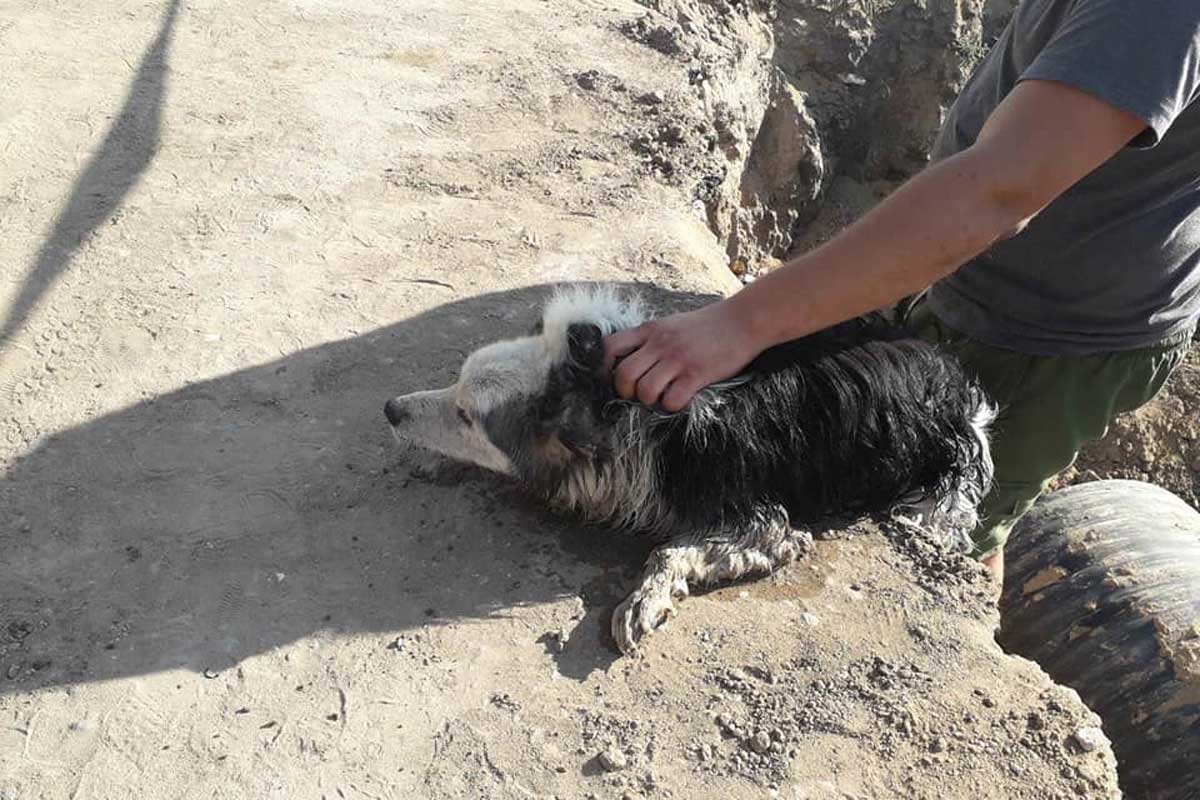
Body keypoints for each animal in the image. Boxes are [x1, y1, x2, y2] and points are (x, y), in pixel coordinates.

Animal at [384, 286, 993, 652]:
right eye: (455, 386)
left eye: (466, 415)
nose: (389, 409)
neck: (625, 415)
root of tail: (950, 375)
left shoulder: (762, 521)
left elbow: (673, 551)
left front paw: (643, 602)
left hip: (940, 491)